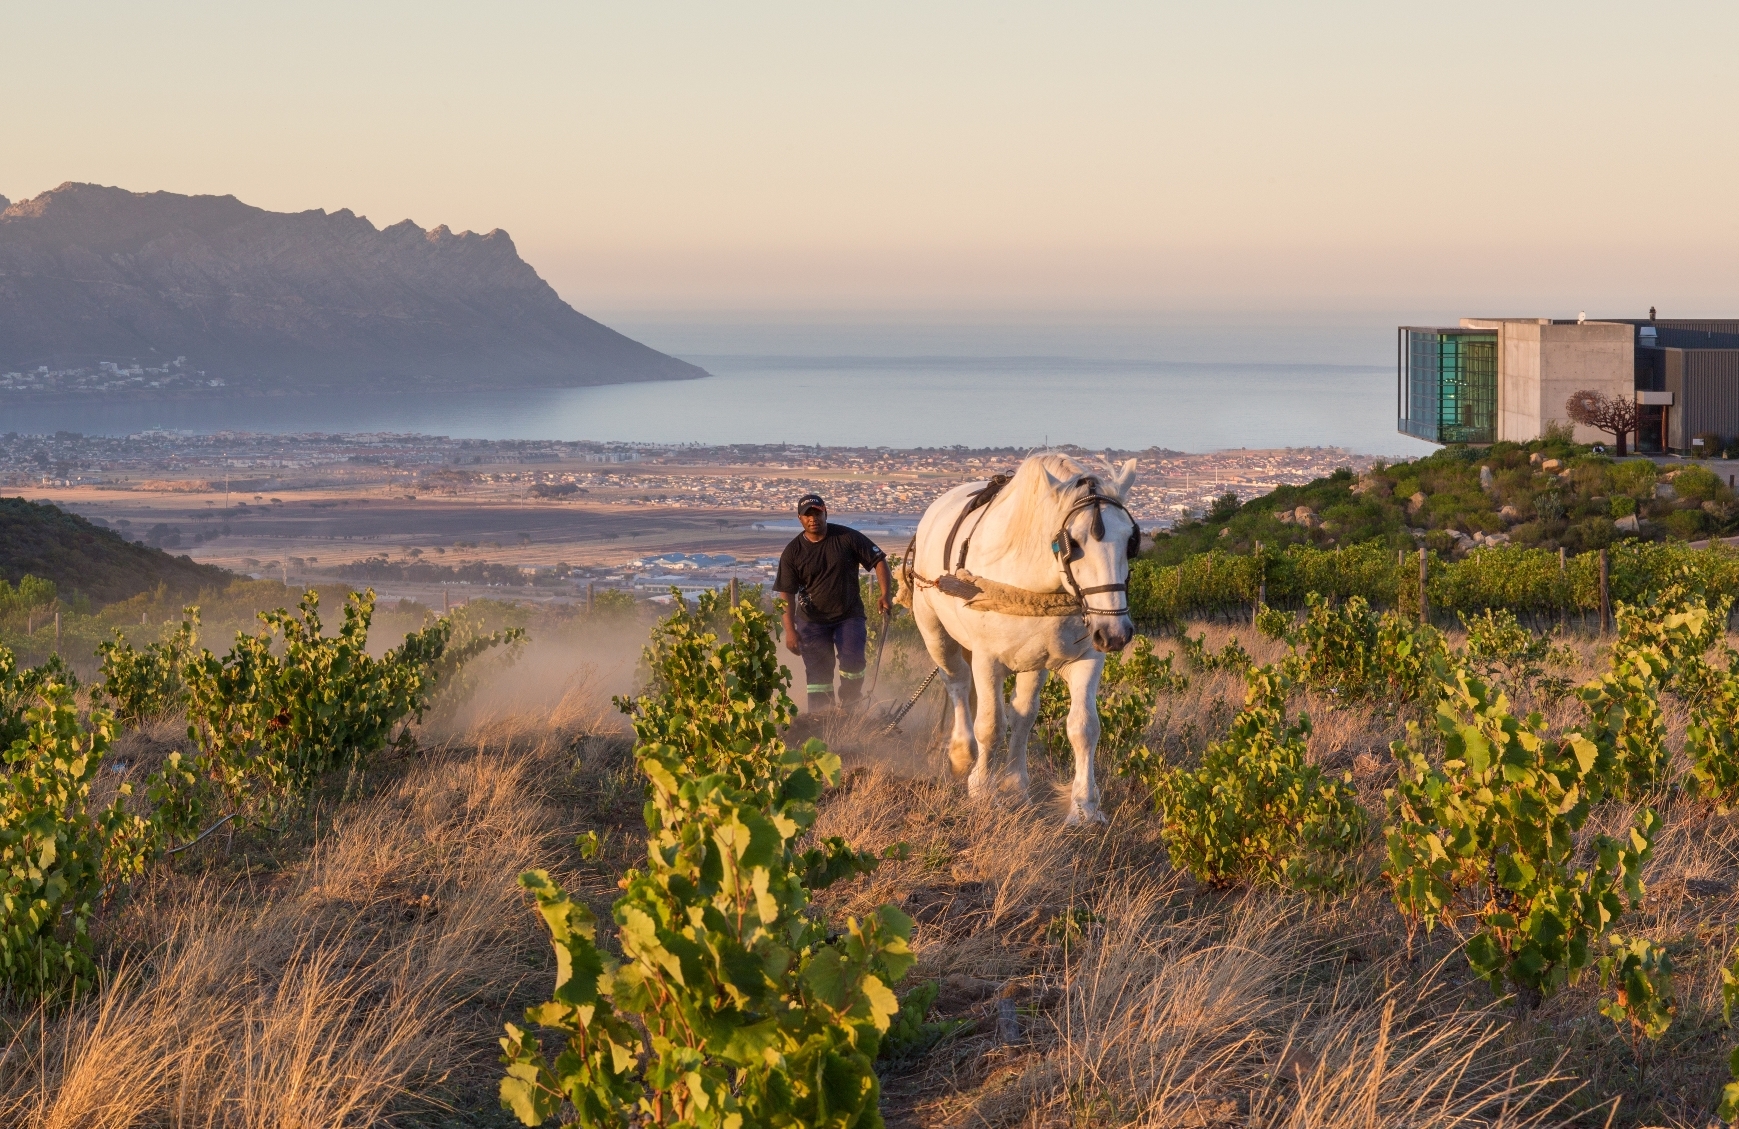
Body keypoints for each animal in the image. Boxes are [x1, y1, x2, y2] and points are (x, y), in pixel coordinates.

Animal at [911, 452, 1140, 824]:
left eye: (1130, 541)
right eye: (1073, 542)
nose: (1115, 634)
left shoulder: (1086, 657)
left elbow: (1083, 727)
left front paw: (1085, 806)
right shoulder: (987, 659)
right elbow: (991, 724)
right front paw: (981, 789)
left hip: (1033, 660)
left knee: (1023, 713)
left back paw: (1016, 783)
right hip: (934, 631)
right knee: (957, 682)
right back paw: (962, 752)